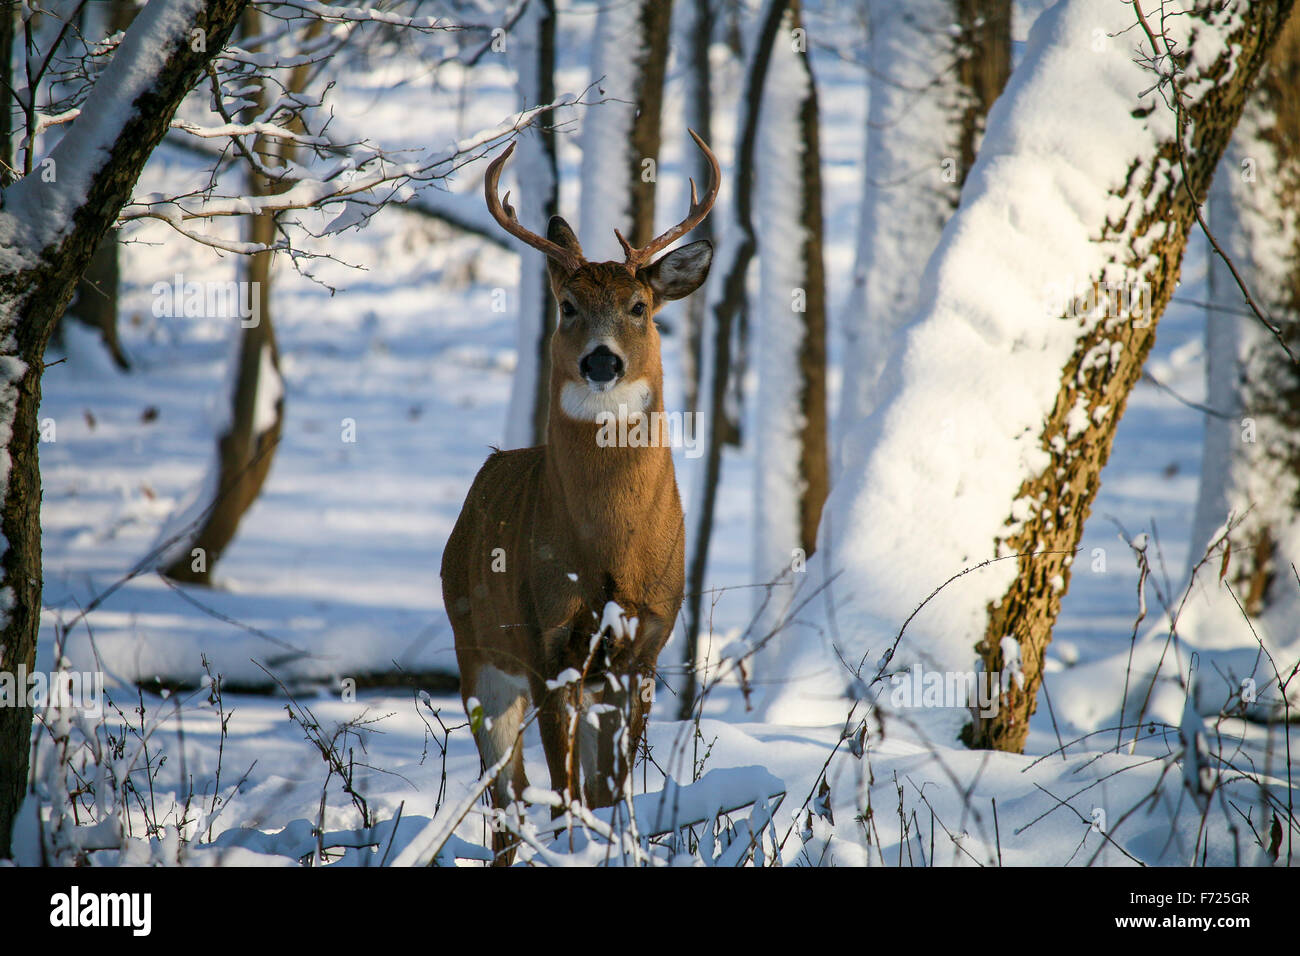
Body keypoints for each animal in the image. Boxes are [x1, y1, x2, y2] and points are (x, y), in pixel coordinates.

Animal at [441, 132, 717, 858]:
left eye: (639, 307)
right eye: (567, 306)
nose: (601, 360)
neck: (608, 552)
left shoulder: (644, 650)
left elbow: (610, 795)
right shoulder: (546, 644)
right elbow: (563, 797)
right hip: (476, 655)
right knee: (508, 803)